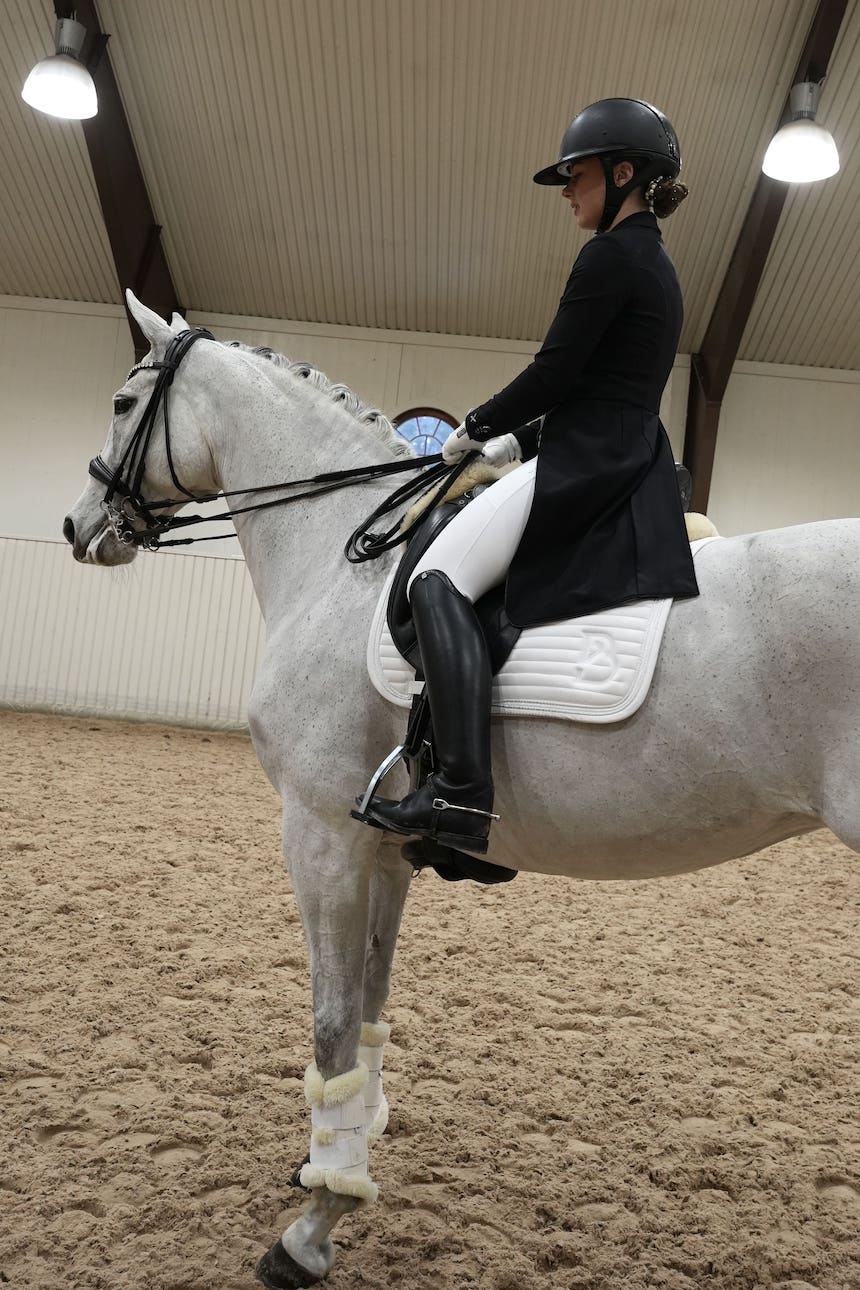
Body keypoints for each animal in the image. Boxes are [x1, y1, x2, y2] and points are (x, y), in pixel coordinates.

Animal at [62, 295, 860, 1290]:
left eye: (124, 401)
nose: (79, 526)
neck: (342, 562)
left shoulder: (318, 833)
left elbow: (330, 1019)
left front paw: (312, 1228)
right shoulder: (384, 847)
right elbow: (370, 1002)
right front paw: (342, 1157)